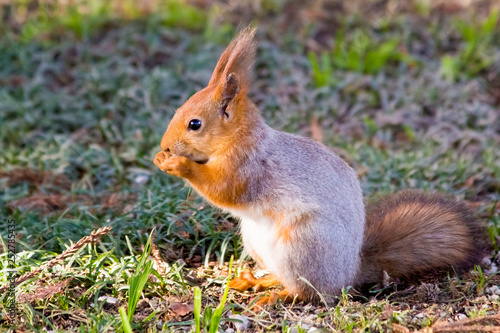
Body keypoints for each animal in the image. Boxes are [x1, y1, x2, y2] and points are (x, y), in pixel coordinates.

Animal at [152, 27, 488, 308]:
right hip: (255, 240)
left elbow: (223, 190)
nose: (165, 145)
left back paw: (276, 296)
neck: (239, 138)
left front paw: (177, 164)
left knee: (309, 292)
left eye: (194, 124)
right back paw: (257, 281)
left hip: (301, 245)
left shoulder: (247, 167)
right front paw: (160, 158)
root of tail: (348, 274)